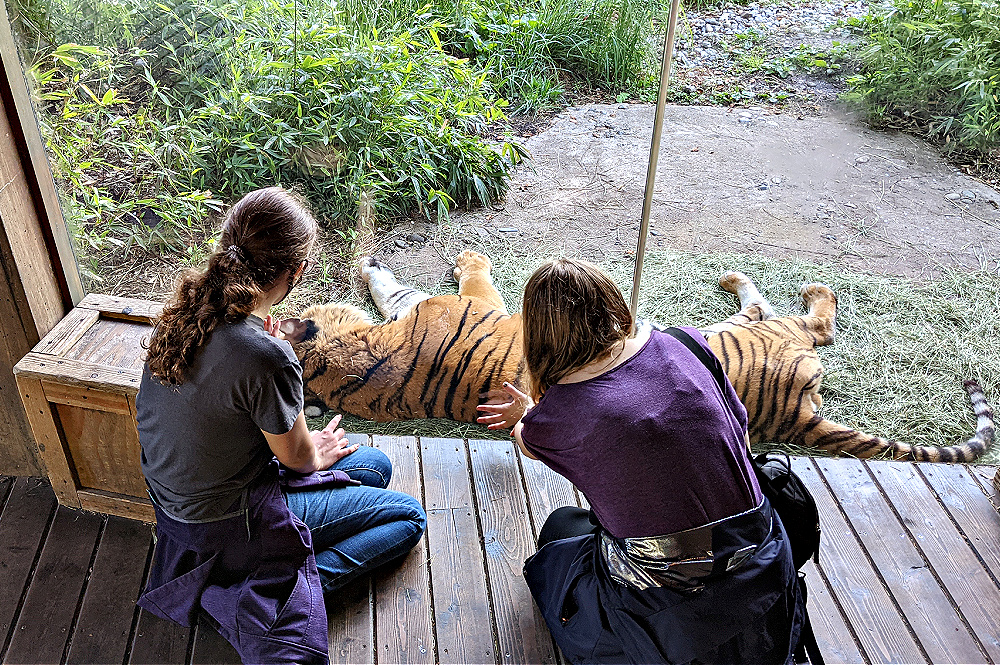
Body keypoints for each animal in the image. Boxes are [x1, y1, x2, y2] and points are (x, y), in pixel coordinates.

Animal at [290, 249, 992, 462]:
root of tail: (797, 414)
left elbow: (402, 285)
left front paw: (365, 266)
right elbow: (458, 273)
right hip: (743, 335)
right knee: (807, 319)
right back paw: (778, 286)